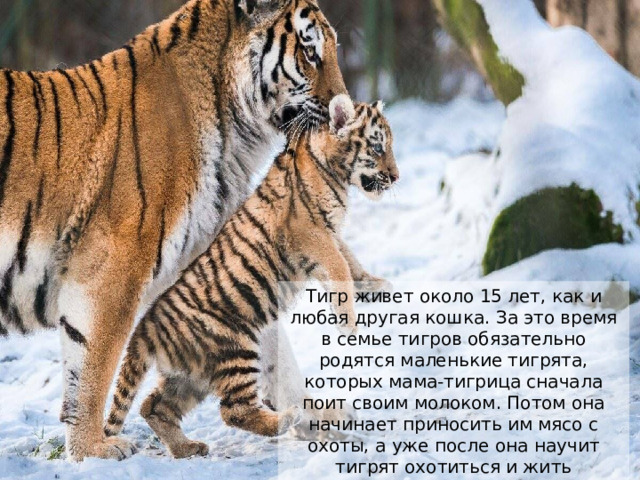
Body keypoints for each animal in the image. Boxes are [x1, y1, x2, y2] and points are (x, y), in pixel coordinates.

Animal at [0, 0, 360, 461]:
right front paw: (91, 450)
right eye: (311, 52)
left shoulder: (210, 265)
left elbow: (275, 351)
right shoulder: (110, 270)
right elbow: (92, 366)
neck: (234, 128)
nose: (344, 108)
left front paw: (320, 420)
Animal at [103, 95, 399, 459]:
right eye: (377, 147)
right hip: (236, 350)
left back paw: (188, 448)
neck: (332, 172)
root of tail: (146, 327)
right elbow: (340, 266)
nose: (396, 176)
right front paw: (349, 325)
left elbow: (350, 259)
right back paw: (286, 419)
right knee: (233, 411)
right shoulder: (310, 233)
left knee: (154, 407)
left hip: (190, 376)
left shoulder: (329, 234)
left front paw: (374, 286)